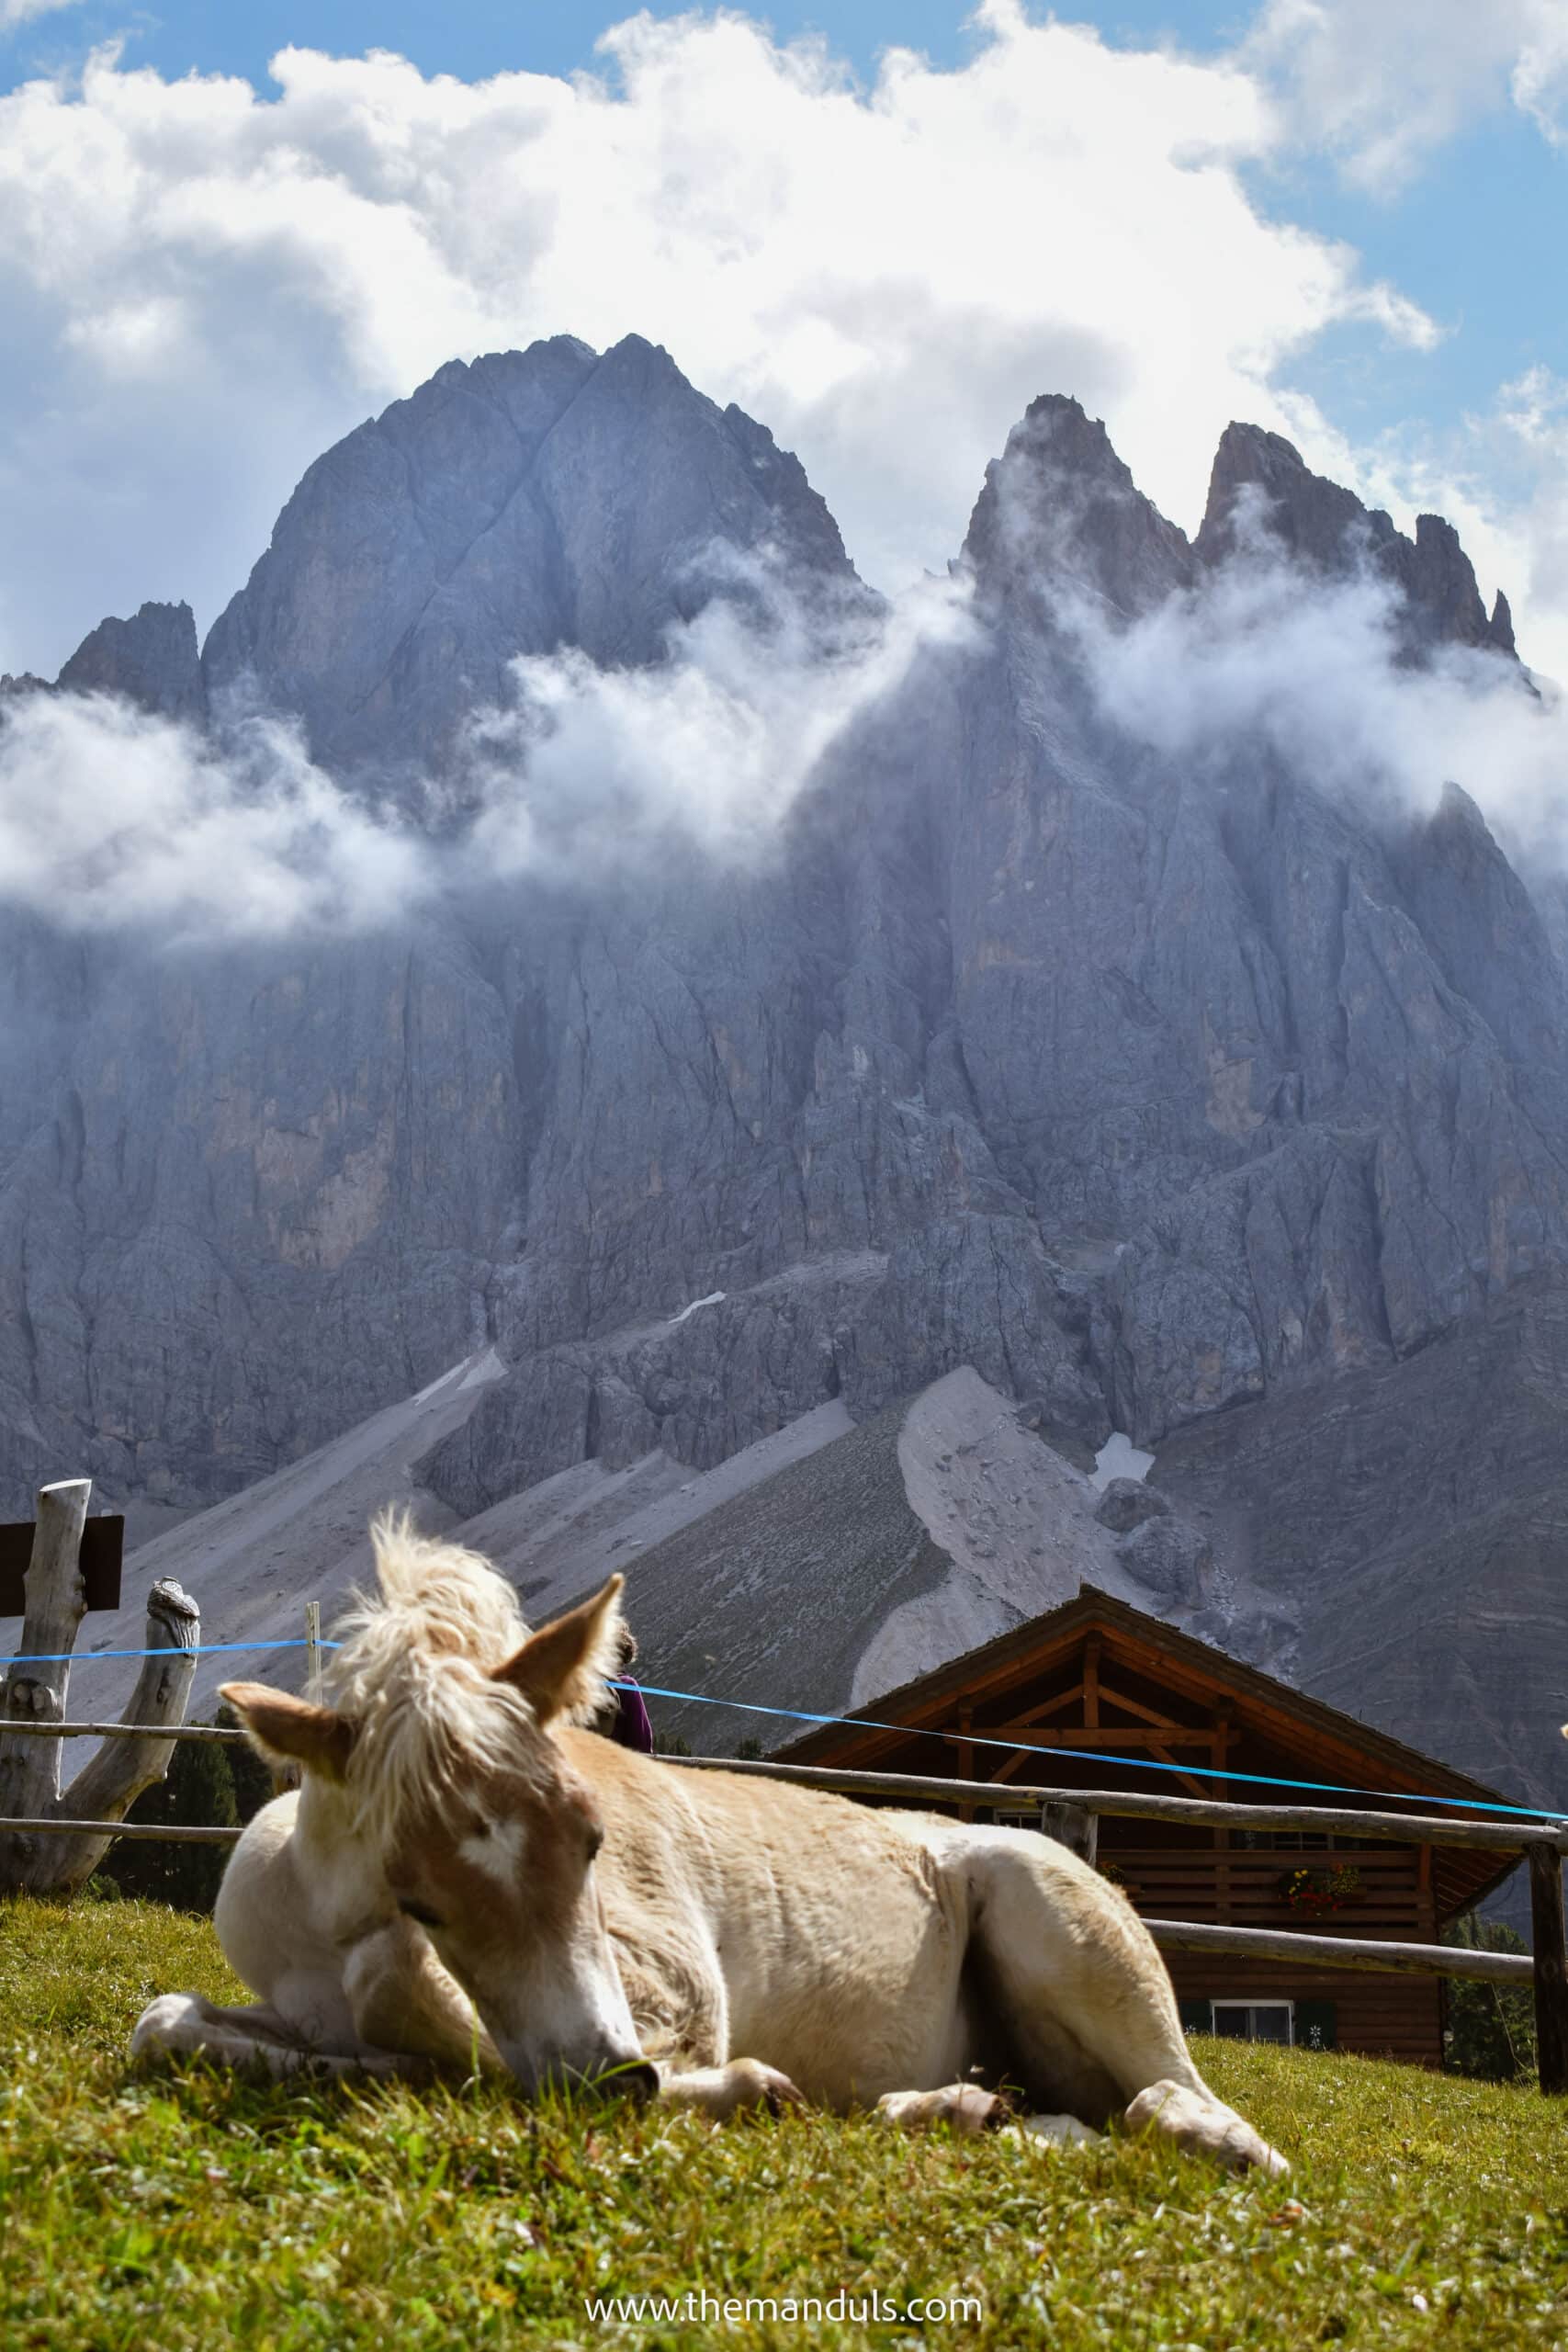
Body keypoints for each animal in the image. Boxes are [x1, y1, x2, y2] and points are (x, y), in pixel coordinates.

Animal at [131, 1514, 1288, 2173]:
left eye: (596, 1841)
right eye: (418, 1892)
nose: (615, 2079)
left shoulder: (674, 1989)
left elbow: (457, 2029)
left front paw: (745, 2089)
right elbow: (167, 2023)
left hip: (1061, 1925)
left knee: (1179, 2102)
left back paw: (1215, 2143)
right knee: (1080, 2118)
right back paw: (960, 2108)